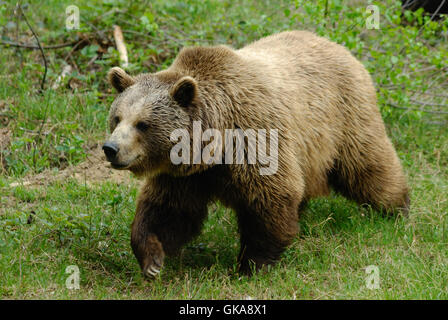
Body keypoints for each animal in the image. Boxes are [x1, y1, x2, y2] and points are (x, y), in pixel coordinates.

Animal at [104, 30, 410, 278]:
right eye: (117, 118)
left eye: (143, 124)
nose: (111, 149)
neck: (216, 144)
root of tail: (339, 46)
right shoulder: (186, 174)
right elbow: (167, 210)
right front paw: (152, 260)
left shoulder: (255, 138)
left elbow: (270, 198)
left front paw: (250, 265)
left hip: (344, 118)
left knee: (367, 166)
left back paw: (398, 209)